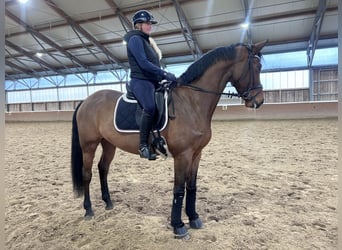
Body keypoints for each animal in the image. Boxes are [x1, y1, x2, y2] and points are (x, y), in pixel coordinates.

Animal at [70, 40, 268, 239]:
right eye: (256, 66)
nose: (258, 101)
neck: (192, 102)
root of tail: (86, 101)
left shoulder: (197, 154)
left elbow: (192, 186)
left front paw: (194, 218)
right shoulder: (182, 155)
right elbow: (178, 189)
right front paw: (178, 226)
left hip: (109, 144)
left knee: (103, 169)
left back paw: (108, 203)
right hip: (89, 145)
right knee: (87, 174)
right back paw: (88, 210)